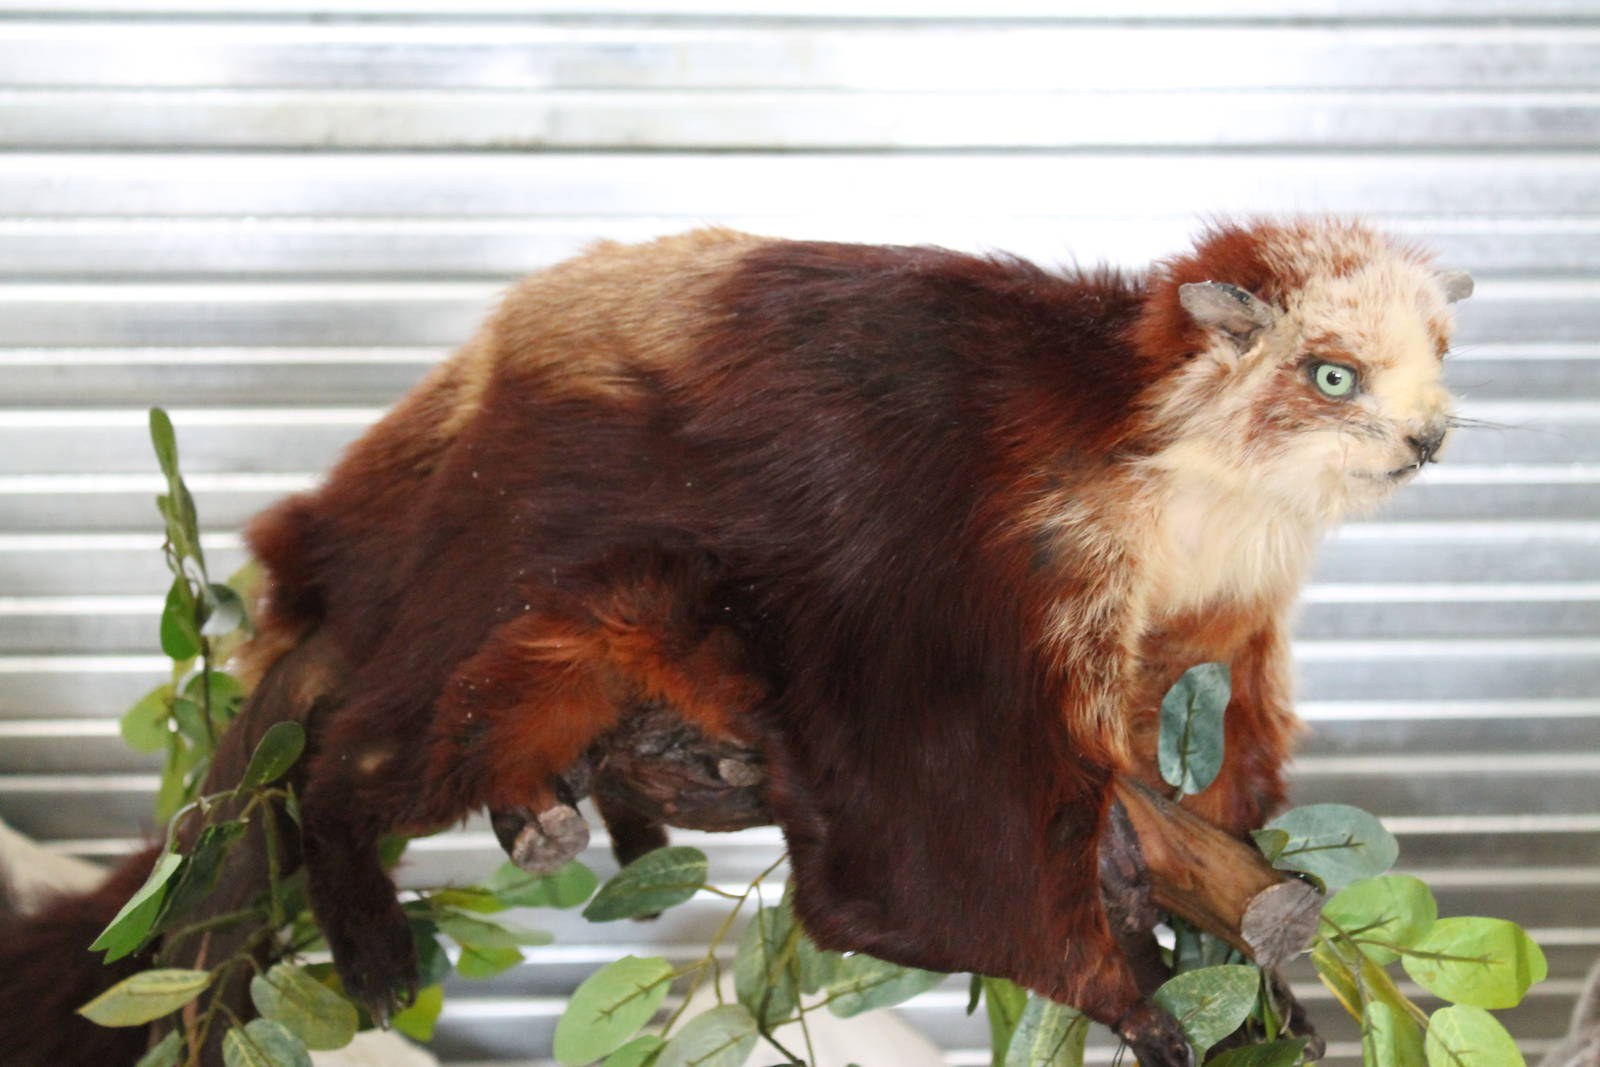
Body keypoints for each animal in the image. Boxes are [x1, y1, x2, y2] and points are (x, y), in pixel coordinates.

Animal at [5, 219, 1471, 1066]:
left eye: (1439, 355)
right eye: (1331, 371)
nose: (1428, 439)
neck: (1182, 485)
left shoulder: (1210, 640)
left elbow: (1203, 796)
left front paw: (1258, 959)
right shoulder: (962, 594)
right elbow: (920, 863)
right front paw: (1133, 987)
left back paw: (590, 807)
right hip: (494, 601)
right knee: (350, 759)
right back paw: (372, 931)